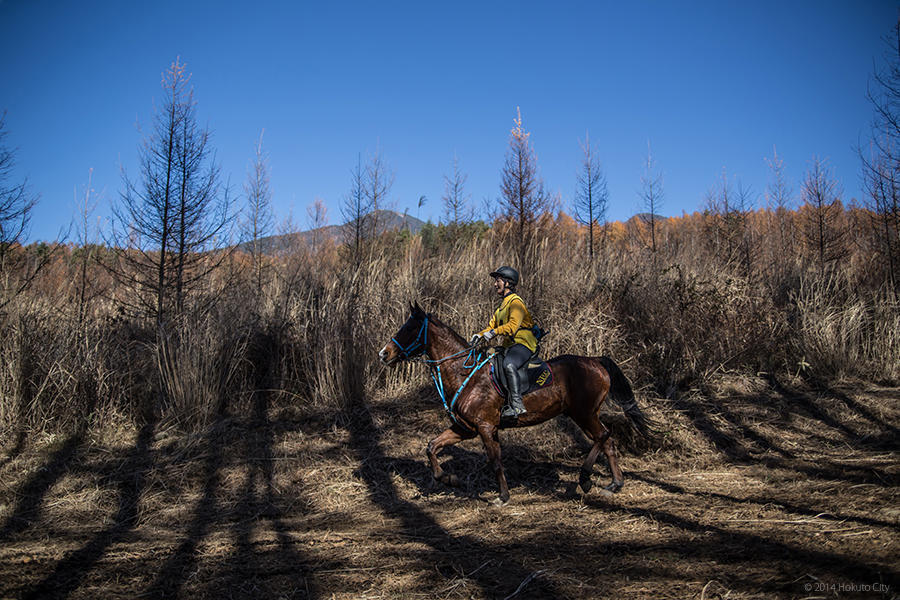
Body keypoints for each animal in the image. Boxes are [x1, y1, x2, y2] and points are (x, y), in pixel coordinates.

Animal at [376, 302, 652, 504]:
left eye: (409, 329)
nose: (383, 354)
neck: (464, 373)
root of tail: (595, 361)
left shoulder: (486, 428)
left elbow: (495, 461)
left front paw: (503, 496)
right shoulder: (466, 428)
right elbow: (432, 446)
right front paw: (449, 479)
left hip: (584, 413)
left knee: (603, 437)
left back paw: (587, 479)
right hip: (583, 414)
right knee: (606, 441)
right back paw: (613, 484)